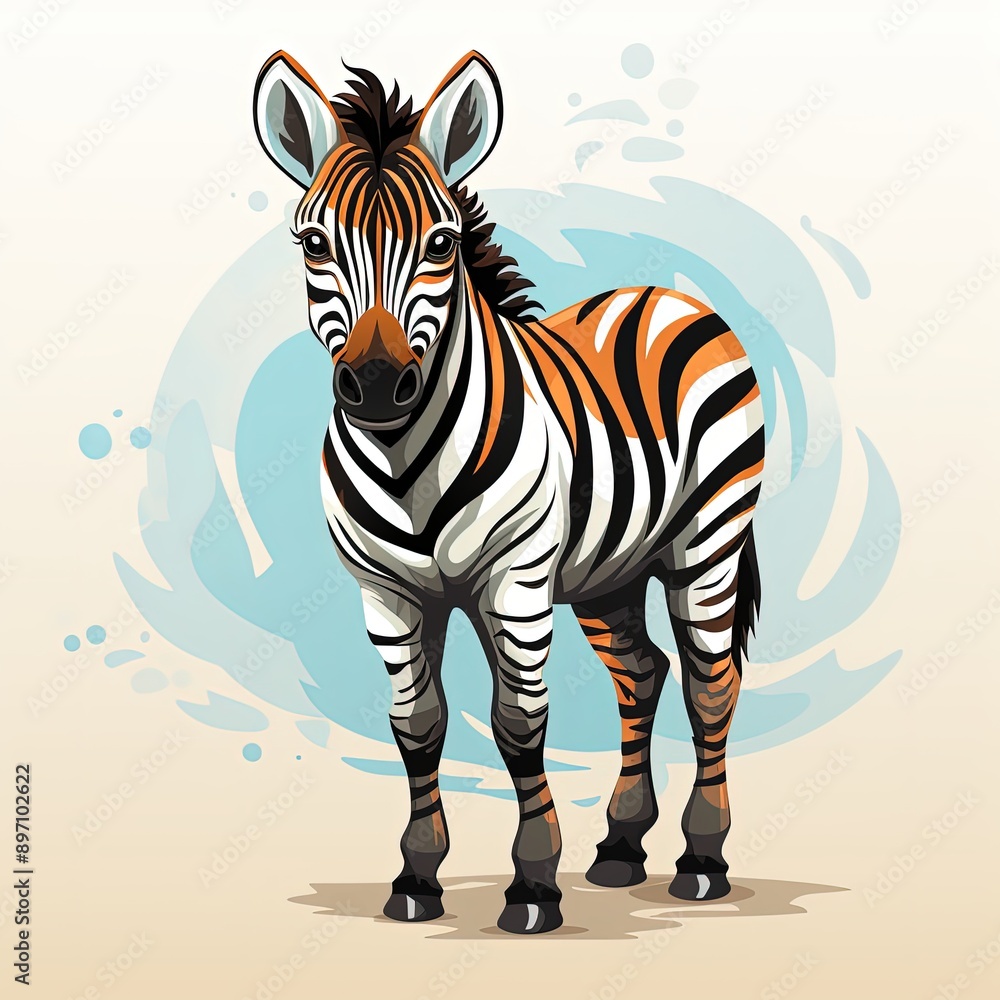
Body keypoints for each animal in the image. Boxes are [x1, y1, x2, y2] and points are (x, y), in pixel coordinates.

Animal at [253, 50, 764, 934]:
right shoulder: (386, 593)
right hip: (609, 571)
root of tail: (669, 296)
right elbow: (417, 725)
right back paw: (621, 847)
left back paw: (701, 861)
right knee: (643, 673)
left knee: (711, 683)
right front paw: (417, 879)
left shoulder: (514, 583)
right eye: (314, 242)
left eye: (442, 243)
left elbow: (518, 724)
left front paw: (532, 885)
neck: (404, 463)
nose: (378, 385)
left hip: (709, 540)